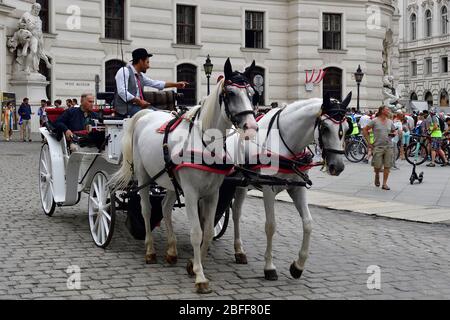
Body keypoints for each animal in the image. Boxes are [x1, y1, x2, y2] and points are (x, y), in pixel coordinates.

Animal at [110, 58, 258, 294]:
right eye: (231, 93)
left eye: (253, 93)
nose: (251, 127)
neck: (205, 142)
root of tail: (146, 114)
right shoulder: (190, 193)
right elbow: (196, 232)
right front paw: (200, 276)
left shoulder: (213, 193)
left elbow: (208, 231)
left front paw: (192, 264)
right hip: (143, 176)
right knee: (146, 209)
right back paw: (150, 251)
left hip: (169, 180)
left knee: (165, 208)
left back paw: (171, 251)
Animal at [229, 92, 352, 280]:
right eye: (324, 128)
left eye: (346, 128)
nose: (337, 166)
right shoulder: (268, 189)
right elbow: (271, 226)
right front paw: (269, 267)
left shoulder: (297, 187)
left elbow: (308, 223)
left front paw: (298, 266)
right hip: (239, 185)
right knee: (236, 213)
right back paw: (238, 249)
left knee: (235, 211)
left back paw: (239, 251)